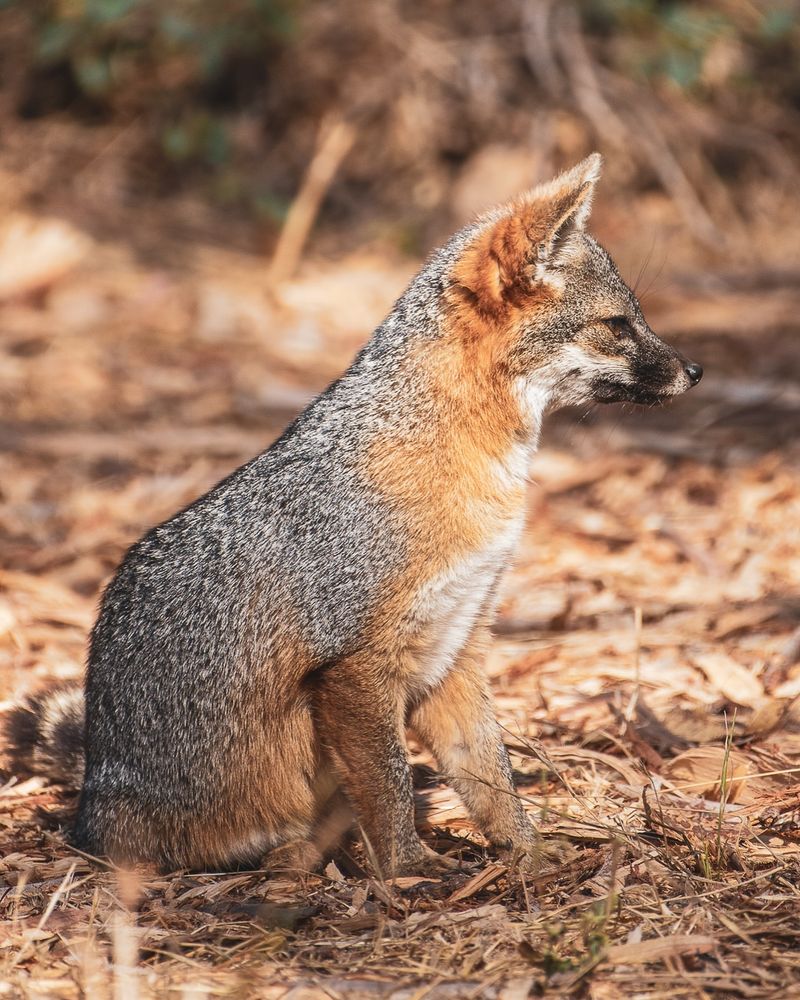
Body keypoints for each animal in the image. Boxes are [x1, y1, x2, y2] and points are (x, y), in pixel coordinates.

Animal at [9, 154, 704, 876]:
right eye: (618, 325)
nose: (696, 369)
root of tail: (89, 807)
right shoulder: (355, 664)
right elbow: (390, 781)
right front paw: (411, 871)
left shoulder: (456, 649)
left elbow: (490, 776)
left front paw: (528, 856)